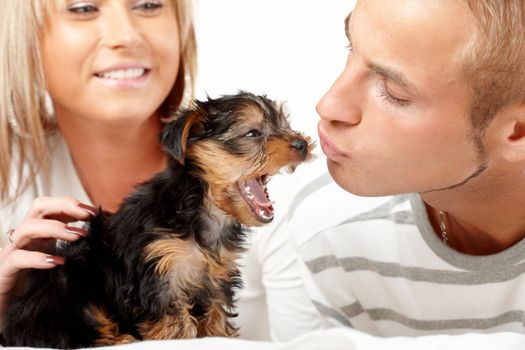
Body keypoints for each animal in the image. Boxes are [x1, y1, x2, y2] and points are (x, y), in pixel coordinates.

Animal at [0, 91, 314, 348]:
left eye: (284, 124)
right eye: (252, 133)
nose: (301, 143)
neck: (201, 209)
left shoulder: (215, 279)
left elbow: (215, 315)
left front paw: (220, 335)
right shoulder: (157, 274)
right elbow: (175, 324)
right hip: (71, 290)